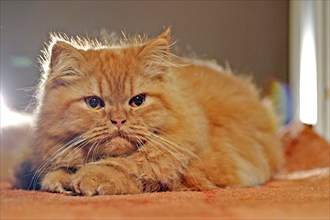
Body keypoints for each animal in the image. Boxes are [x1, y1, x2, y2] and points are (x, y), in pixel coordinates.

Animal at [13, 28, 284, 195]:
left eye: (137, 100)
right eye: (94, 103)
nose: (118, 120)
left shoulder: (194, 172)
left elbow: (132, 169)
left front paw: (91, 177)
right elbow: (56, 171)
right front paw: (61, 180)